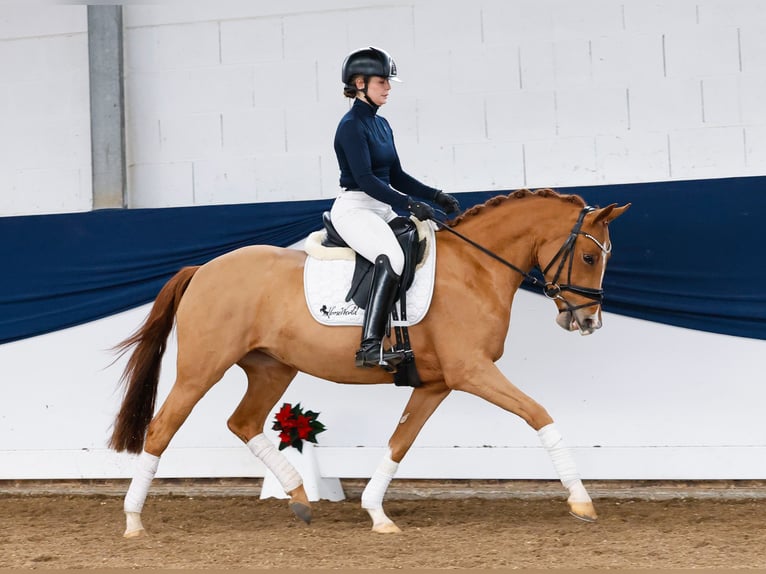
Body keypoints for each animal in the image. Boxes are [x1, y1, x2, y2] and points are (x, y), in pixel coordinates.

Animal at [112, 190, 632, 540]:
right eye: (589, 256)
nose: (589, 321)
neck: (476, 270)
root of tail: (203, 268)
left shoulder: (437, 383)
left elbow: (401, 442)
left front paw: (377, 514)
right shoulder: (472, 371)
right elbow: (539, 414)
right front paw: (582, 501)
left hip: (272, 368)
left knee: (242, 422)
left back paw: (299, 497)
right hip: (201, 370)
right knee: (161, 428)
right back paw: (134, 522)